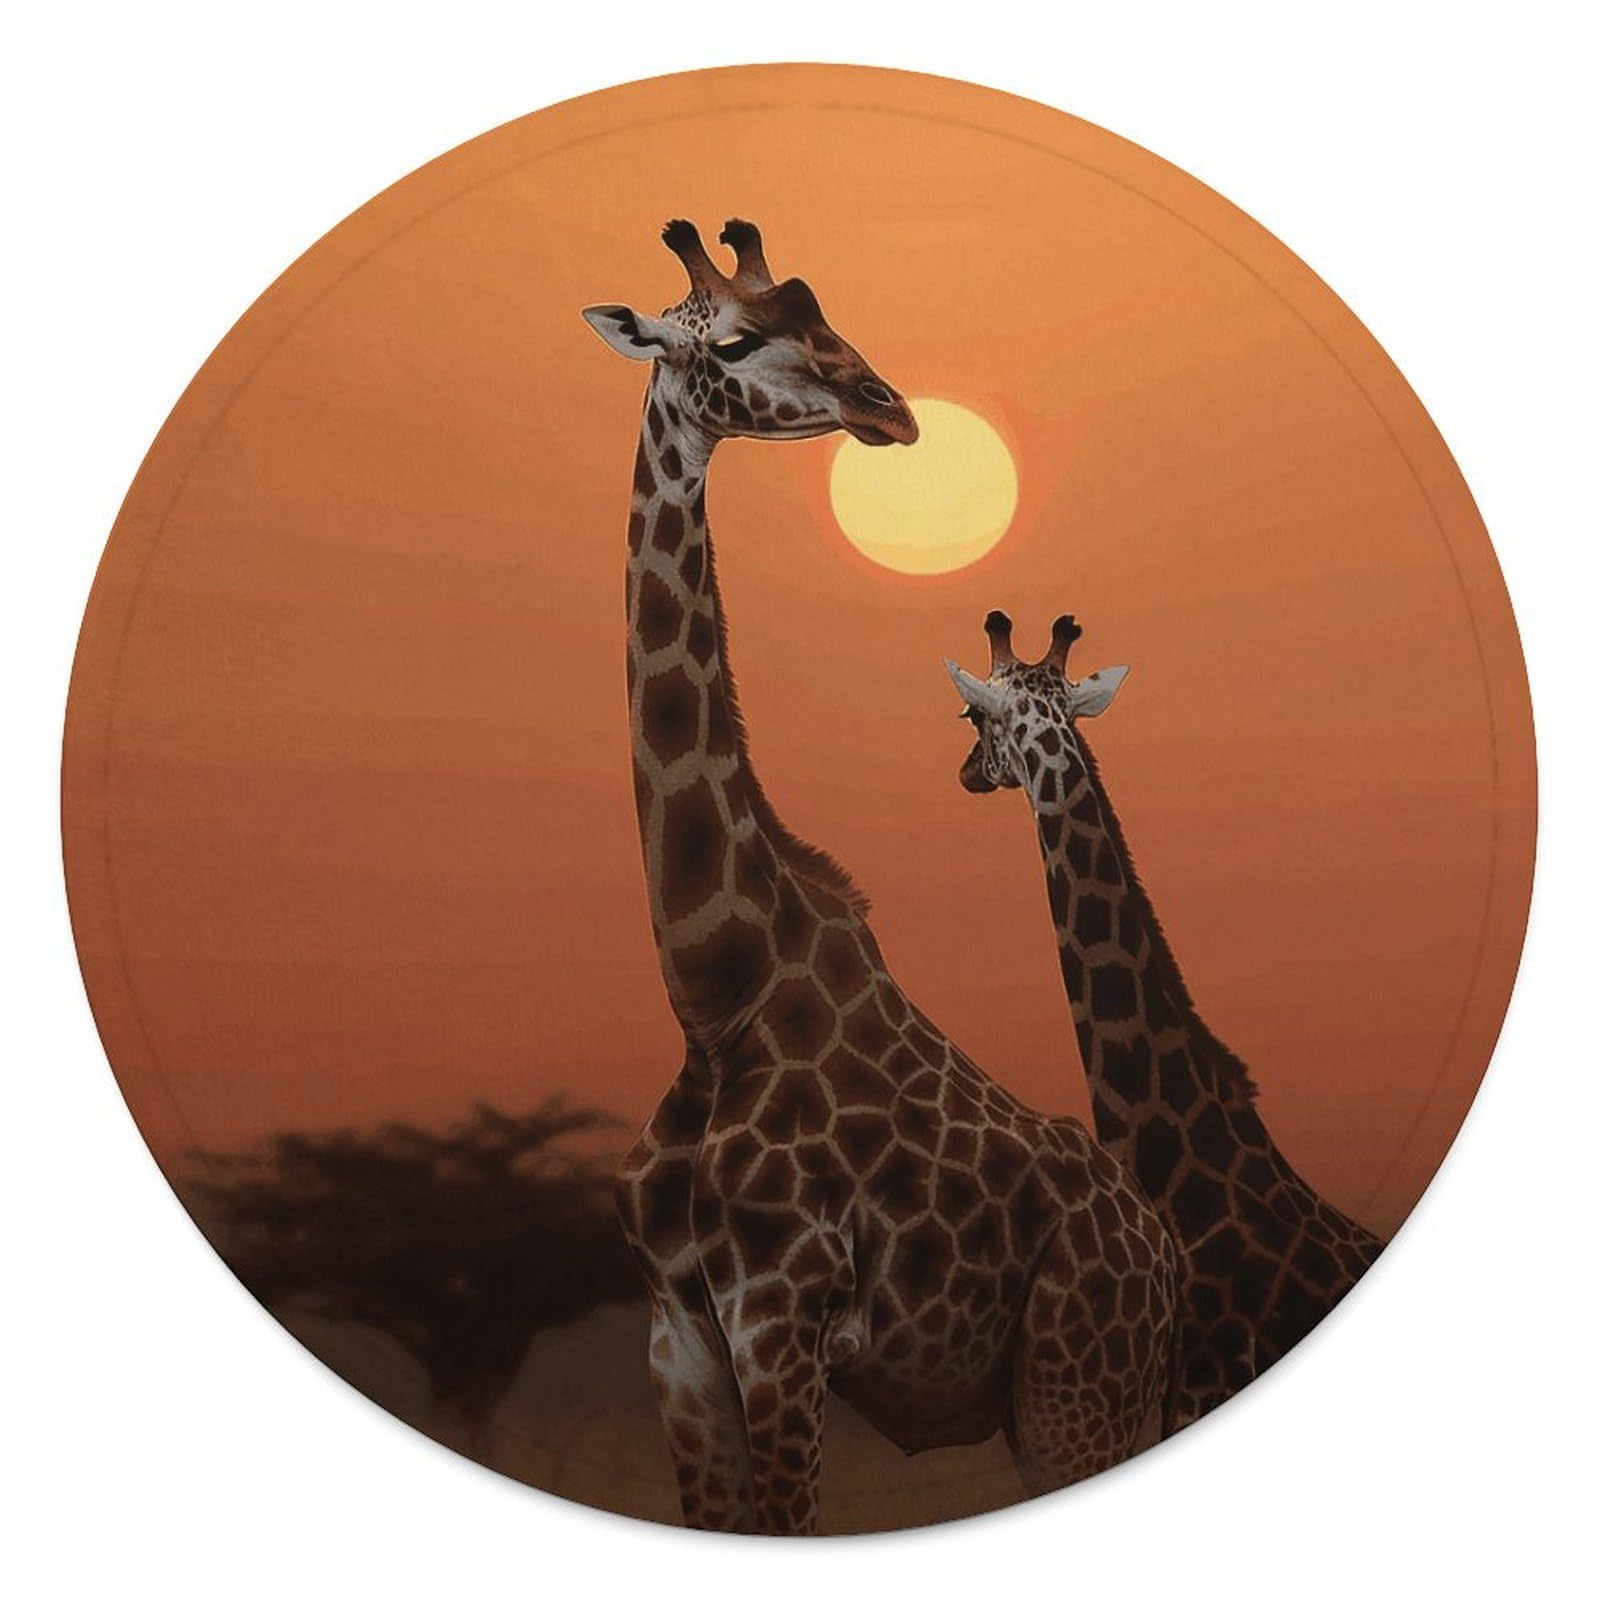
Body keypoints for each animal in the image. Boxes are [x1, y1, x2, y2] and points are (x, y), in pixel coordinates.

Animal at [582, 222, 1179, 1534]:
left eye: (828, 315)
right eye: (732, 338)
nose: (888, 407)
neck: (714, 993)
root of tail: (1166, 1258)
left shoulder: (782, 1321)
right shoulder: (676, 1334)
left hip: (1076, 1391)